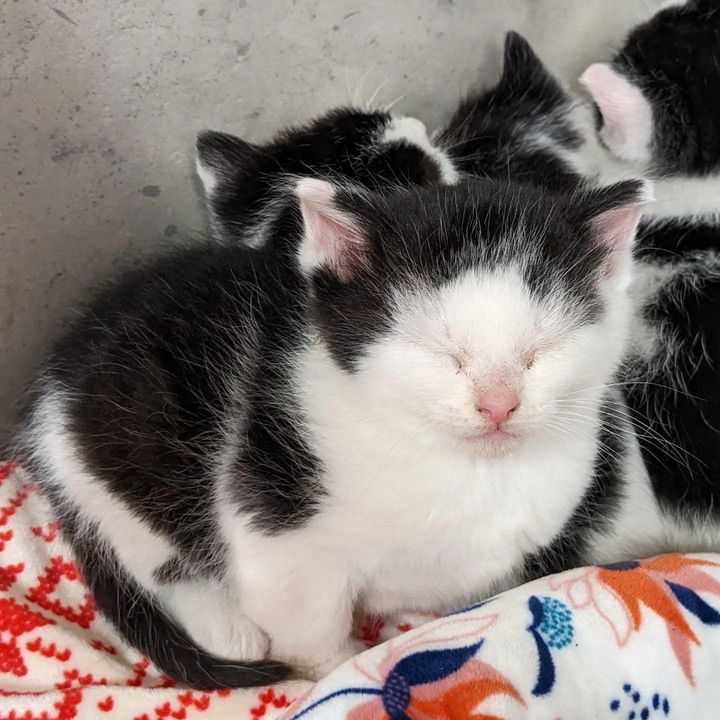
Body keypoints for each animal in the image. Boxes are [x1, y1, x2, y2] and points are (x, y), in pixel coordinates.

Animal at [15, 169, 648, 688]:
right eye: (439, 352)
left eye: (543, 351)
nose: (498, 404)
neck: (465, 469)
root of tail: (49, 396)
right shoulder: (275, 519)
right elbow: (309, 621)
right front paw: (342, 669)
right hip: (127, 447)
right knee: (157, 555)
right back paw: (227, 628)